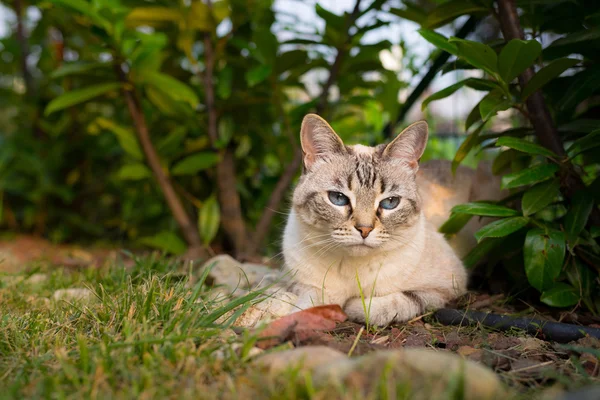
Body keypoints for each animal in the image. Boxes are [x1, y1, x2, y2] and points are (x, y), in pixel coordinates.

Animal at [282, 114, 468, 326]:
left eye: (390, 202)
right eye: (338, 198)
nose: (364, 229)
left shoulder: (446, 289)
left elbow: (383, 305)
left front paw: (350, 306)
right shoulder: (298, 283)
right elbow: (308, 301)